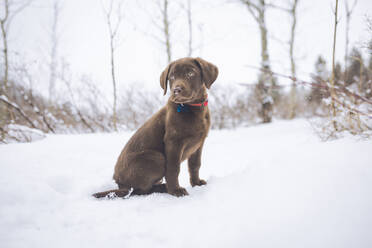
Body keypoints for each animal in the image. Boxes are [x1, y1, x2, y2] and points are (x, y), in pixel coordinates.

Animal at [93, 57, 219, 199]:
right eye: (172, 77)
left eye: (190, 73)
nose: (176, 90)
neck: (191, 107)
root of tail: (119, 184)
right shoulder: (173, 142)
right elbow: (174, 168)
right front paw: (175, 190)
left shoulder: (199, 143)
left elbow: (195, 165)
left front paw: (196, 183)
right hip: (157, 157)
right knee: (139, 191)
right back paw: (164, 188)